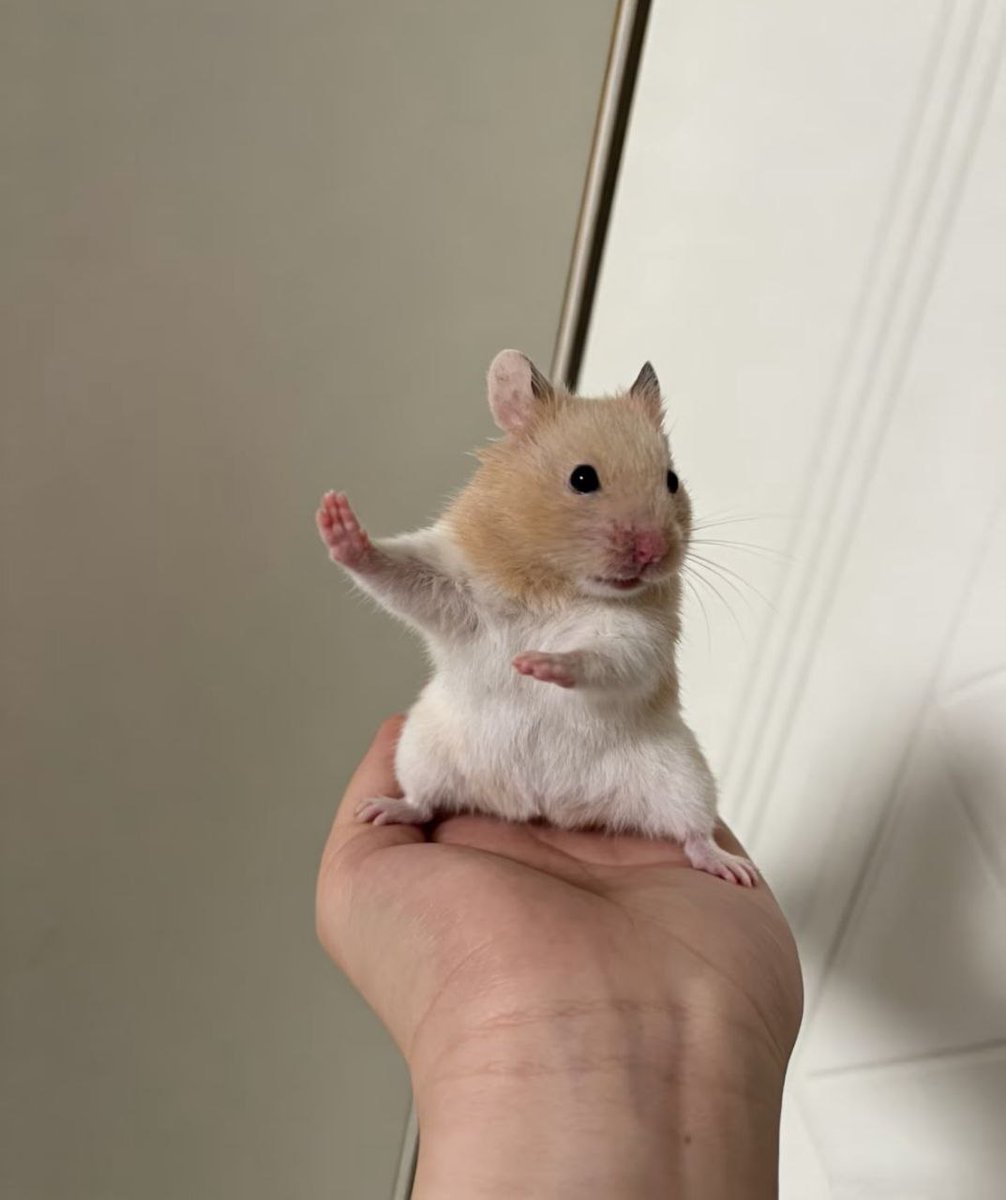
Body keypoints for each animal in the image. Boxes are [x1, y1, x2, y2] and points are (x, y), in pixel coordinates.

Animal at [316, 349, 757, 886]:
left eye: (672, 480)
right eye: (583, 478)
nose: (653, 552)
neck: (555, 583)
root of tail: (545, 806)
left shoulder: (637, 637)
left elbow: (604, 657)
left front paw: (538, 664)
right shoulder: (455, 588)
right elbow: (396, 572)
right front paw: (337, 522)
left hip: (684, 777)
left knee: (692, 831)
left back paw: (731, 868)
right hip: (421, 749)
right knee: (423, 800)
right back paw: (381, 809)